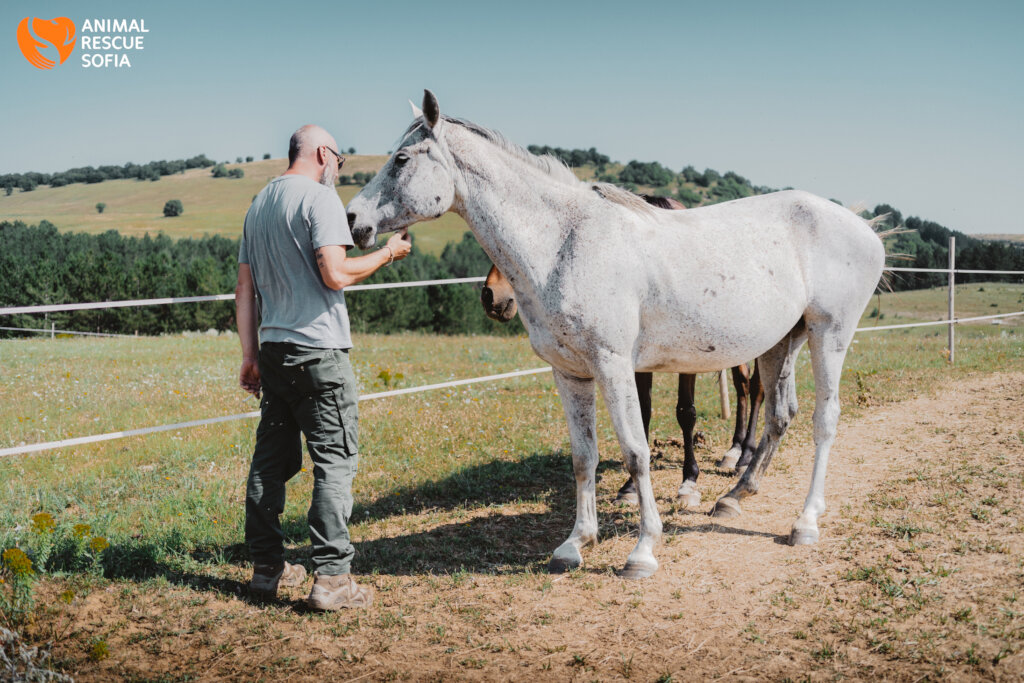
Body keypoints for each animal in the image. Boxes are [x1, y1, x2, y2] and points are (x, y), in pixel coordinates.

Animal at [479, 194, 766, 509]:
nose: (490, 296)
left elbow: (686, 412)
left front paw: (688, 482)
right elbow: (642, 413)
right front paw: (629, 487)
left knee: (756, 389)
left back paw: (746, 456)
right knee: (742, 386)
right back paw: (734, 451)